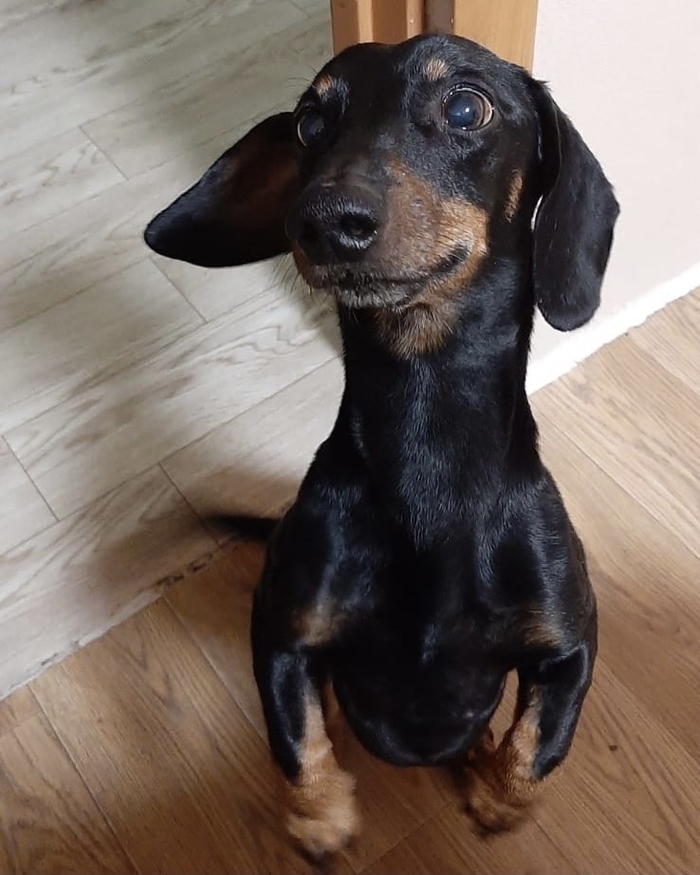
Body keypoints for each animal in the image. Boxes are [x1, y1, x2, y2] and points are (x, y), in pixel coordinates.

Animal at [144, 34, 619, 858]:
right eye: (309, 124)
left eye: (465, 107)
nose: (324, 221)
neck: (426, 434)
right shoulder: (281, 630)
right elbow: (296, 742)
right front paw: (320, 816)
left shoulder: (572, 644)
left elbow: (536, 747)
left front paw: (498, 802)